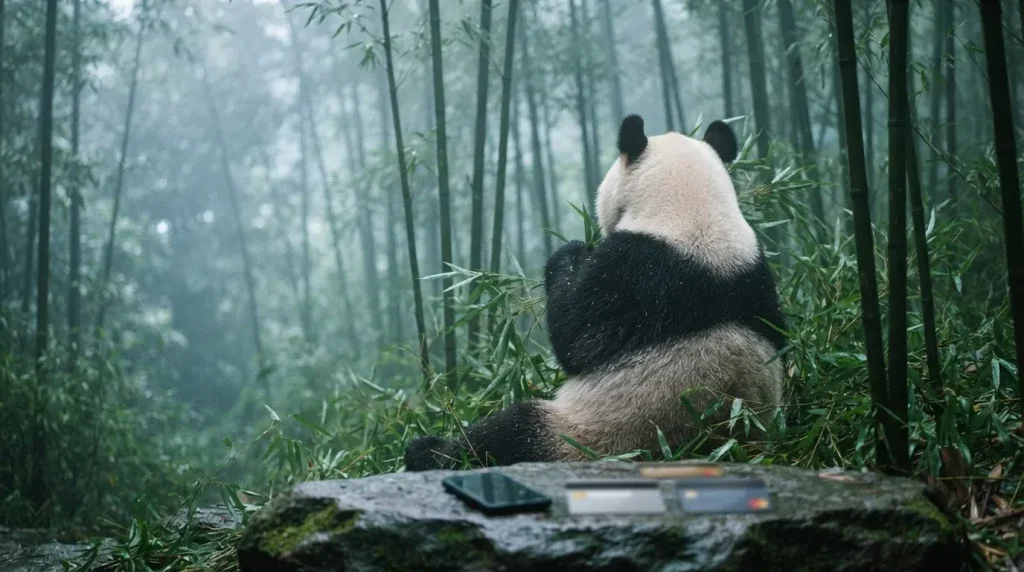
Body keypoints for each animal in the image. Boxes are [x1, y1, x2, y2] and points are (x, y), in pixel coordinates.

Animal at [404, 114, 787, 471]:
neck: (694, 208)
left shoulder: (636, 276)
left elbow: (577, 338)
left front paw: (570, 252)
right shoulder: (756, 273)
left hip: (589, 434)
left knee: (505, 436)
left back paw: (428, 451)